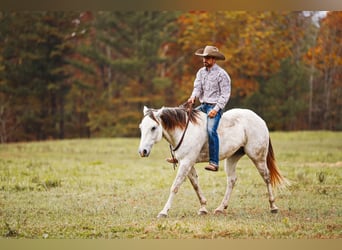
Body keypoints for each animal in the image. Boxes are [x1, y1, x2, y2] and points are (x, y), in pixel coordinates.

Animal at [138, 104, 288, 218]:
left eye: (153, 127)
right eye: (141, 127)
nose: (142, 151)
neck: (183, 131)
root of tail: (259, 119)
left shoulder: (186, 162)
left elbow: (175, 186)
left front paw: (164, 212)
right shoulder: (187, 163)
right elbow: (195, 184)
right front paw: (203, 207)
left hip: (258, 157)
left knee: (266, 177)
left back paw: (273, 206)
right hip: (233, 157)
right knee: (232, 180)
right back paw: (221, 208)